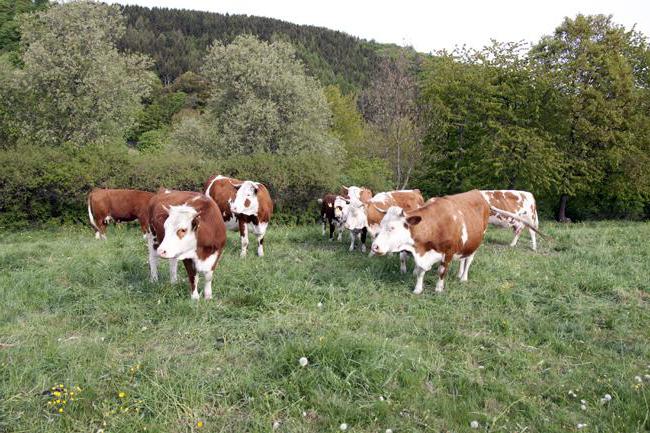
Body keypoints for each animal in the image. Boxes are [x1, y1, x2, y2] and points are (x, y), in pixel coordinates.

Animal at [370, 191, 536, 296]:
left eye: (392, 228)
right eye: (382, 224)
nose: (374, 246)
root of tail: (479, 194)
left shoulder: (448, 253)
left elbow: (441, 271)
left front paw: (438, 288)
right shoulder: (422, 252)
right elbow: (420, 271)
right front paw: (417, 289)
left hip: (476, 242)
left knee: (468, 260)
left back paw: (463, 277)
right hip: (465, 244)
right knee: (463, 259)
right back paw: (459, 274)